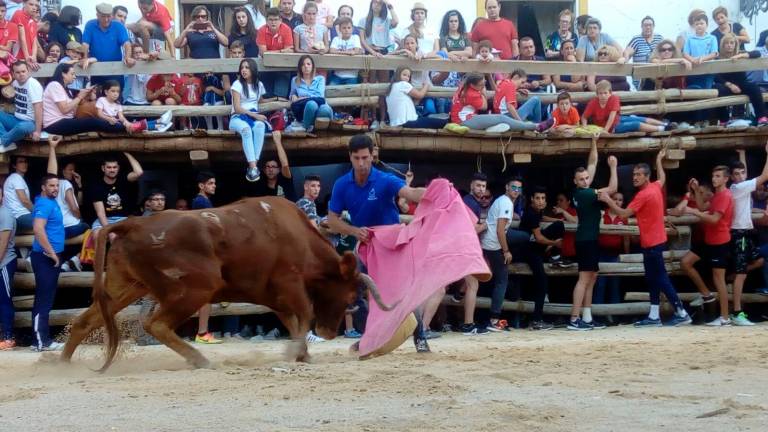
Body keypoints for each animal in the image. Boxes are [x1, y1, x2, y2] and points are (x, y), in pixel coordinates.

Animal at [58, 197, 390, 370]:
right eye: (351, 296)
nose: (330, 332)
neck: (302, 238)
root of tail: (135, 223)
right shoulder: (290, 283)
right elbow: (304, 314)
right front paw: (294, 353)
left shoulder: (273, 294)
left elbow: (293, 320)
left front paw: (302, 354)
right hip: (196, 289)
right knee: (157, 324)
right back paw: (200, 359)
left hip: (125, 285)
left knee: (85, 320)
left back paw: (61, 364)